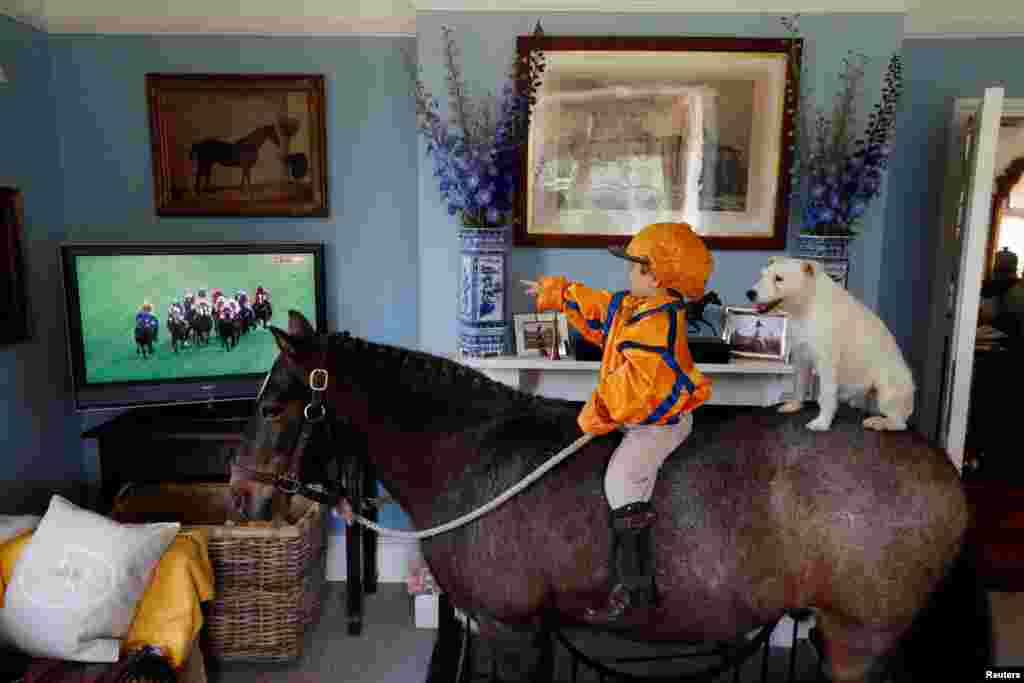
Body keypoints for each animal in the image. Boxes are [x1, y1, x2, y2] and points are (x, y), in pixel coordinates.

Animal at [230, 311, 974, 683]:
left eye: (271, 405)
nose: (239, 493)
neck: (474, 449)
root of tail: (938, 463)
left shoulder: (510, 628)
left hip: (857, 641)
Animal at [741, 259, 917, 430]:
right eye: (762, 275)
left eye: (779, 278)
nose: (750, 293)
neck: (806, 307)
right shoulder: (801, 357)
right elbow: (799, 385)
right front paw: (794, 405)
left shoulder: (827, 364)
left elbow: (826, 395)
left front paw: (821, 423)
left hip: (887, 388)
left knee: (899, 422)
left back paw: (878, 422)